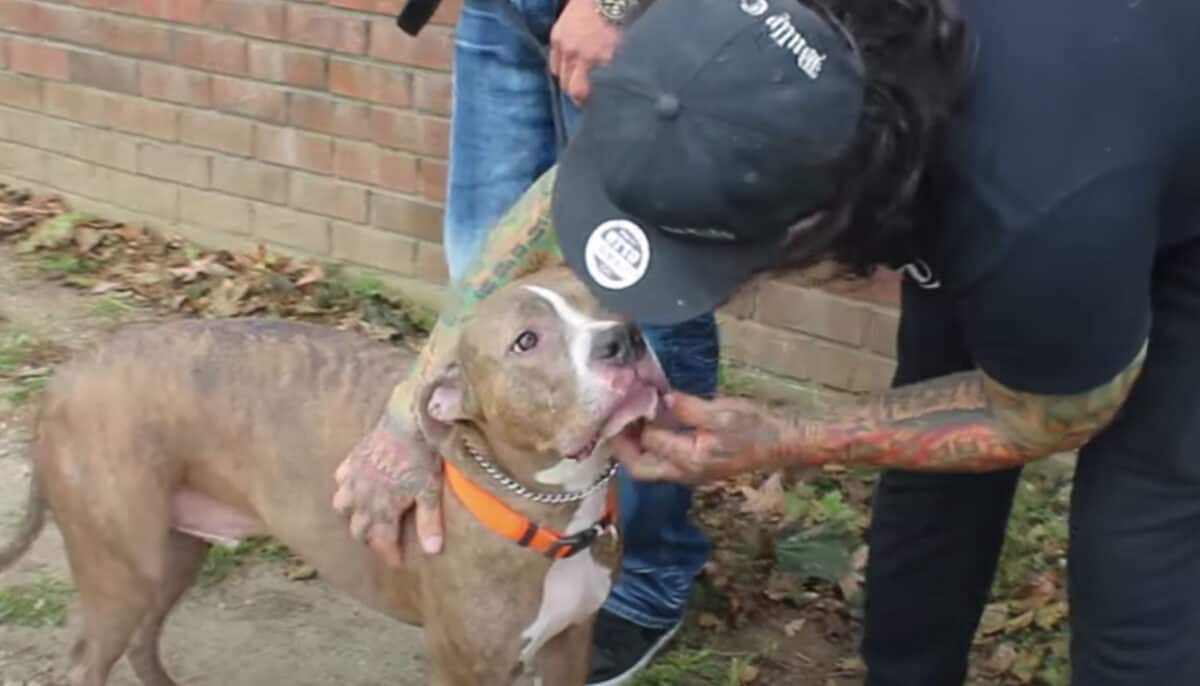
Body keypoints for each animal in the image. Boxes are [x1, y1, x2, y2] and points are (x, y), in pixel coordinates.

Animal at [0, 265, 667, 686]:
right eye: (526, 341)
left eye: (605, 305)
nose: (624, 339)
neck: (548, 506)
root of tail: (63, 379)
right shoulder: (466, 667)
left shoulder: (569, 645)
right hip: (121, 569)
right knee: (88, 662)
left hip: (172, 553)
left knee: (143, 640)